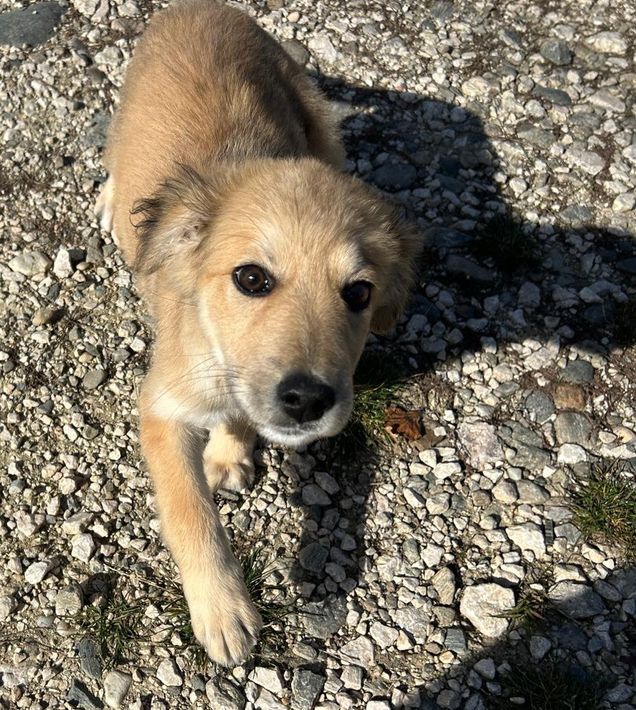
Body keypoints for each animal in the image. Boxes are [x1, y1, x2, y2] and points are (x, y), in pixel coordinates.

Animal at [96, 0, 420, 665]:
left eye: (359, 293)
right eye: (250, 278)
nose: (307, 400)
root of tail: (200, 7)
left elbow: (238, 418)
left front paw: (229, 450)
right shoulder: (160, 406)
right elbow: (192, 513)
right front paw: (223, 611)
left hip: (320, 122)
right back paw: (114, 204)